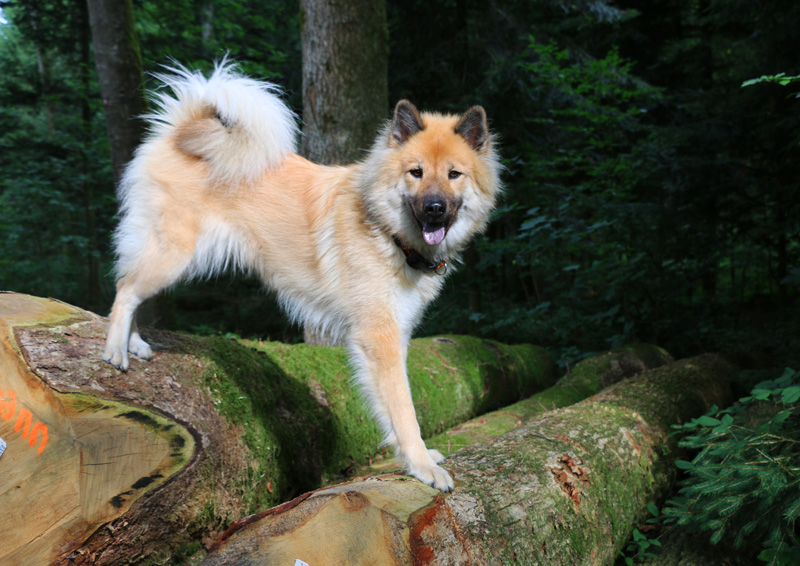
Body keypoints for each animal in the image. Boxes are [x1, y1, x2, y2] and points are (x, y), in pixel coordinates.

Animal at [102, 64, 496, 492]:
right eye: (416, 173)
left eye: (454, 174)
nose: (435, 208)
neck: (385, 230)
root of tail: (178, 132)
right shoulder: (380, 337)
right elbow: (404, 409)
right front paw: (422, 465)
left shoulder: (396, 334)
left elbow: (390, 408)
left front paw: (412, 458)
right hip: (172, 255)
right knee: (125, 290)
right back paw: (116, 349)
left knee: (134, 291)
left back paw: (135, 343)